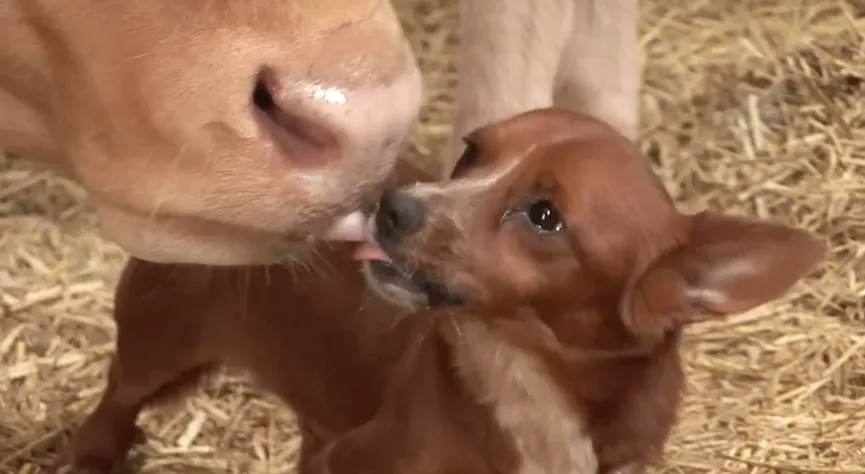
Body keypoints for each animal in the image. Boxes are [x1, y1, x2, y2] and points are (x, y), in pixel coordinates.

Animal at [60, 109, 824, 472]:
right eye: (471, 152)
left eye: (544, 216)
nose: (388, 206)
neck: (527, 381)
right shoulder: (355, 460)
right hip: (159, 336)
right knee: (116, 398)